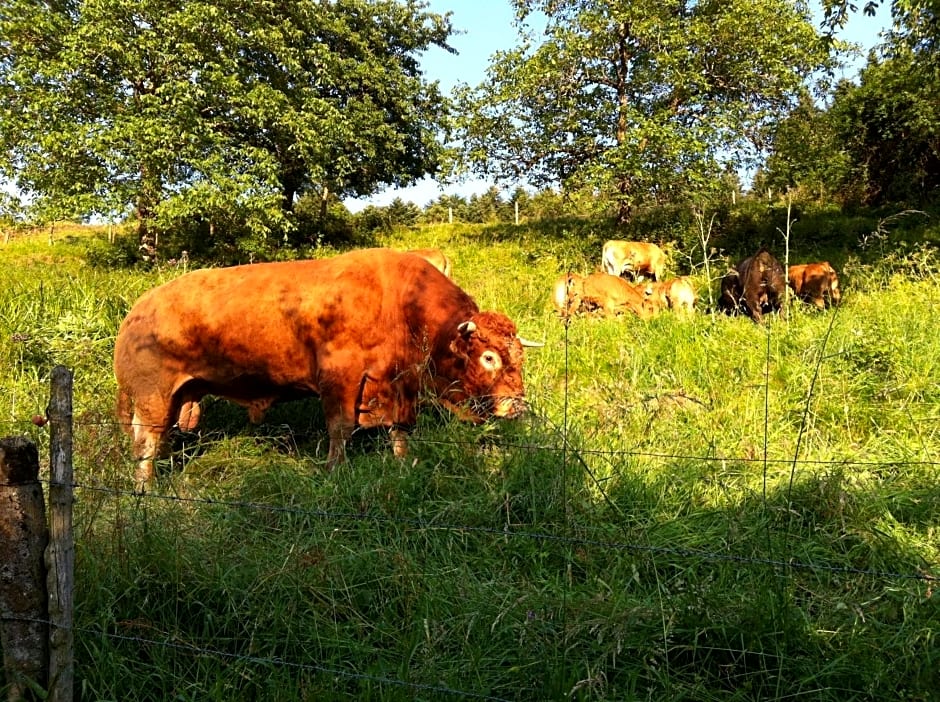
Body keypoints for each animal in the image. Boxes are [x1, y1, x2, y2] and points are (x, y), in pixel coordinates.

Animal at [112, 250, 536, 492]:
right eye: (489, 358)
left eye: (518, 356)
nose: (516, 406)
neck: (398, 301)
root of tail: (136, 311)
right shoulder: (340, 379)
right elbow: (340, 427)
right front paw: (336, 470)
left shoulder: (398, 384)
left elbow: (400, 428)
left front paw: (404, 463)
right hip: (152, 397)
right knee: (146, 440)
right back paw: (145, 486)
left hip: (175, 397)